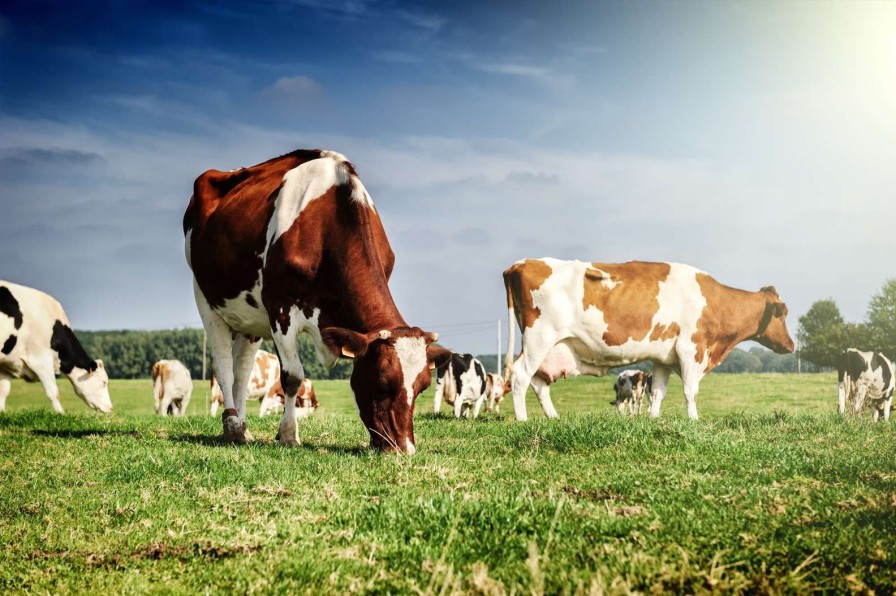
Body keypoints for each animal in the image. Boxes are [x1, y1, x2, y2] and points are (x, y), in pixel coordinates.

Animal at [0, 280, 112, 412]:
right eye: (104, 382)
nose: (111, 408)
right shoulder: (41, 360)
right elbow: (53, 392)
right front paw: (60, 413)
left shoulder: (6, 363)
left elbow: (3, 392)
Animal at [184, 149, 448, 452]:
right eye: (382, 381)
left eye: (423, 385)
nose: (404, 449)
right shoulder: (281, 309)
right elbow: (293, 376)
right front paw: (288, 434)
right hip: (206, 299)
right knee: (224, 367)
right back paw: (232, 425)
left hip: (250, 318)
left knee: (242, 370)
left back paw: (243, 427)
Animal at [500, 260, 796, 420]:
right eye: (783, 313)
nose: (792, 345)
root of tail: (521, 264)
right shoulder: (691, 349)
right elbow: (691, 390)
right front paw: (694, 419)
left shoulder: (663, 358)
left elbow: (658, 393)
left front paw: (654, 419)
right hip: (539, 338)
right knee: (521, 376)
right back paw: (523, 420)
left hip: (550, 347)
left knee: (539, 383)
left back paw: (553, 418)